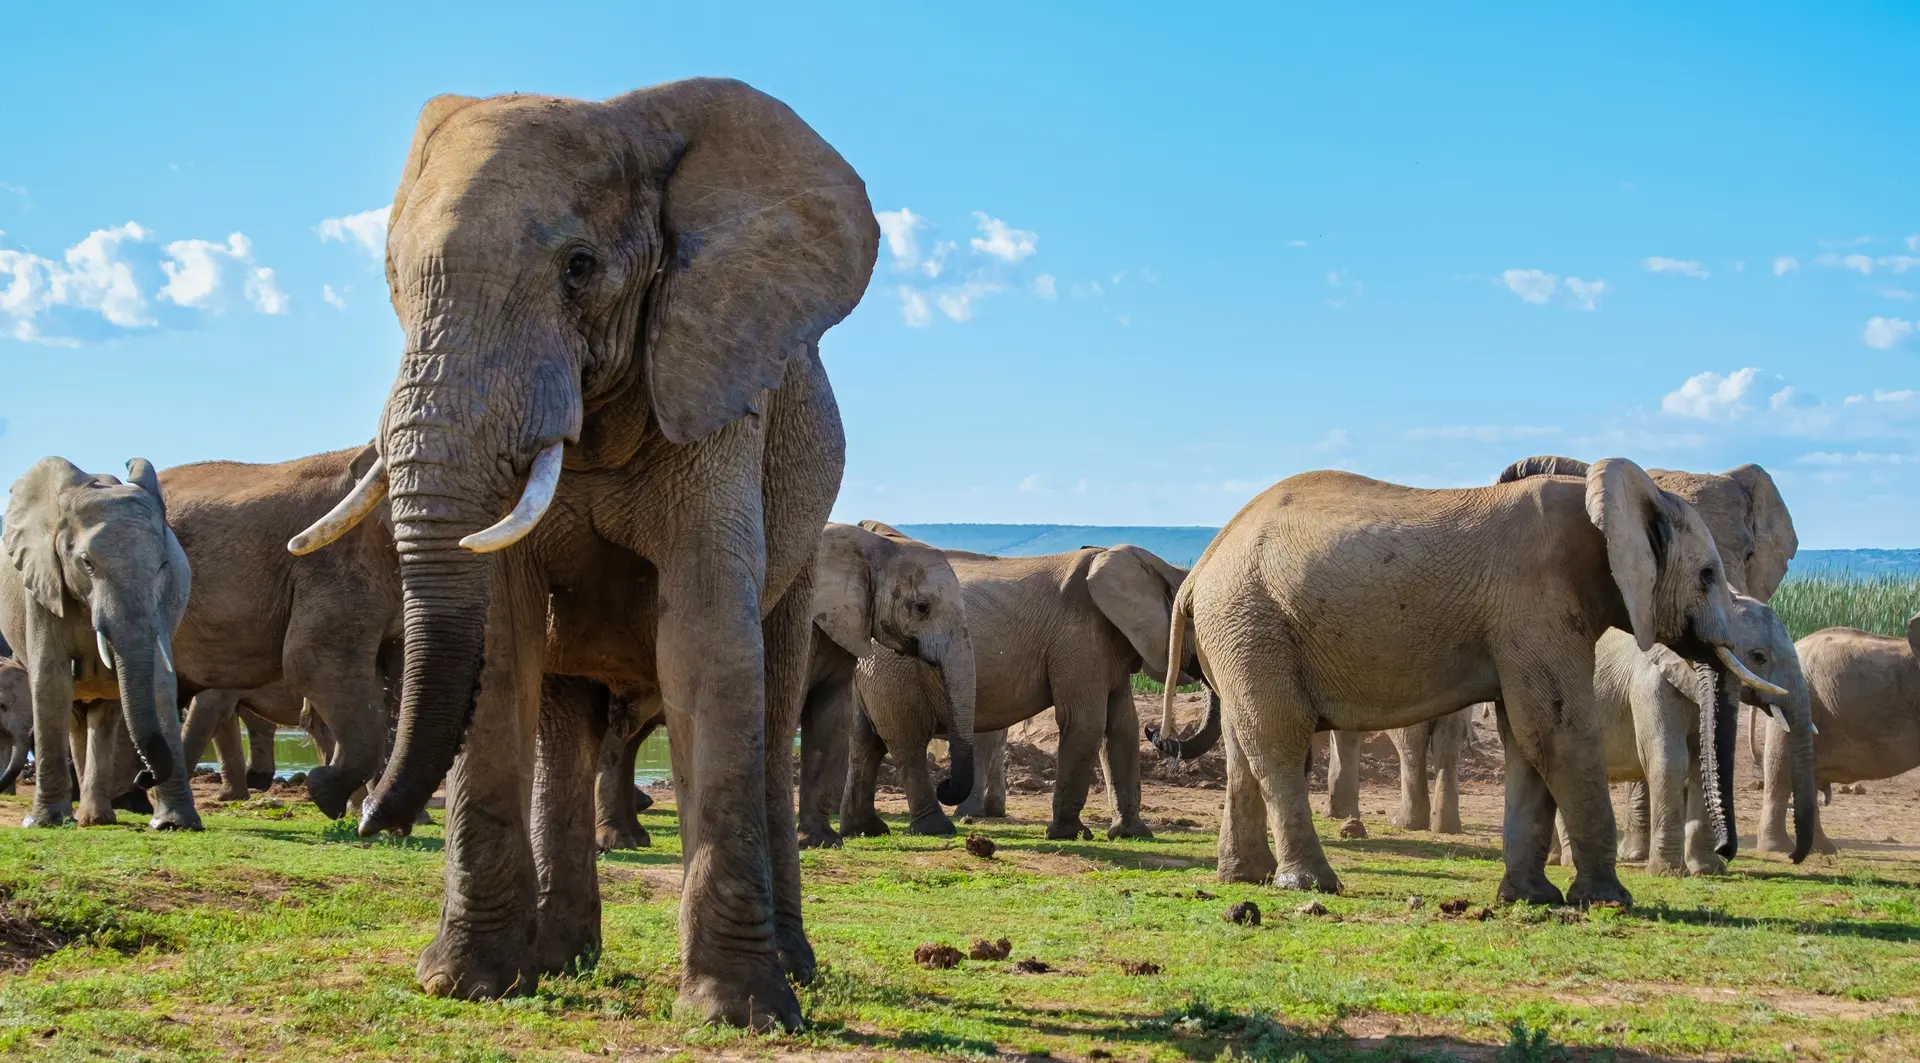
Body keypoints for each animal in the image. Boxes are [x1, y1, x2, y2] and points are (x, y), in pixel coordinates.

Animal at [0, 457, 198, 829]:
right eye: (86, 564)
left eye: (163, 565)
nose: (144, 776)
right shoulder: (42, 582)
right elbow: (50, 679)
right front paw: (45, 822)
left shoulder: (161, 604)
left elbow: (160, 683)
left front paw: (175, 825)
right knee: (76, 712)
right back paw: (87, 819)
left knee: (105, 712)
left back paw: (97, 819)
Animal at [285, 79, 878, 1027]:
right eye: (392, 280)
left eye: (579, 267)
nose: (369, 814)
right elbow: (503, 643)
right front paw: (464, 982)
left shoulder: (714, 391)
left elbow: (708, 643)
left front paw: (737, 1012)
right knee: (565, 719)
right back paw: (560, 961)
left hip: (806, 533)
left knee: (774, 689)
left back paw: (796, 968)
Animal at [847, 543, 1196, 841]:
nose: (1158, 733)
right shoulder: (1079, 638)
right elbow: (1085, 723)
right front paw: (1069, 834)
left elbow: (1122, 728)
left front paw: (1132, 835)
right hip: (895, 669)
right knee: (907, 741)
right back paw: (937, 829)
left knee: (866, 742)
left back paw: (868, 829)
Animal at [1157, 458, 1786, 904]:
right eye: (1708, 576)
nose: (1729, 854)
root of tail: (1198, 571)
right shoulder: (1536, 602)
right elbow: (1555, 731)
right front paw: (1609, 901)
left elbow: (1525, 737)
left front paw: (1533, 899)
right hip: (1251, 619)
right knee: (1279, 740)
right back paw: (1312, 885)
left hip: (1239, 634)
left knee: (1245, 746)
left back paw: (1247, 879)